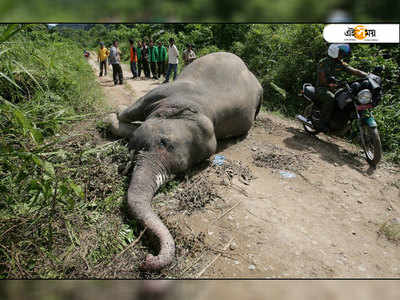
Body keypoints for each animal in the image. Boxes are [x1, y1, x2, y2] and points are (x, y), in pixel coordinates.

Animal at [107, 51, 262, 272]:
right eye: (164, 142)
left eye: (178, 173)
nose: (148, 258)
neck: (197, 109)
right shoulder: (164, 92)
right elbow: (130, 112)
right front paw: (115, 112)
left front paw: (114, 117)